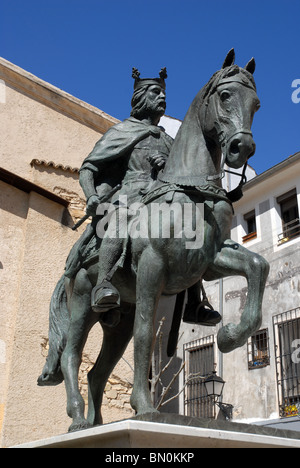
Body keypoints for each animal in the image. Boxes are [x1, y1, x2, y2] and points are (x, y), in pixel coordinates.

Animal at [38, 50, 270, 432]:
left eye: (257, 103)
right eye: (225, 95)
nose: (242, 147)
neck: (190, 191)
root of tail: (69, 269)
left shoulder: (207, 263)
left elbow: (257, 266)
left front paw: (229, 336)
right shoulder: (151, 266)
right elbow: (147, 335)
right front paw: (144, 407)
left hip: (118, 322)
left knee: (97, 371)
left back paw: (98, 421)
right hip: (82, 302)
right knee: (72, 355)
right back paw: (78, 418)